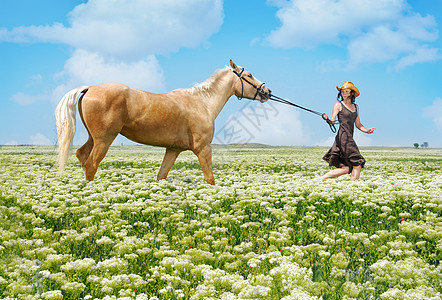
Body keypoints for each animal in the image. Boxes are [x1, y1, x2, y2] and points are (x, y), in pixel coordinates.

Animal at [56, 59, 272, 184]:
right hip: (104, 140)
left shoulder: (172, 150)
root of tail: (89, 88)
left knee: (82, 156)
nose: (267, 92)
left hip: (93, 138)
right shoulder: (203, 148)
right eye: (249, 75)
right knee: (91, 164)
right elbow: (210, 178)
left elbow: (162, 175)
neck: (202, 102)